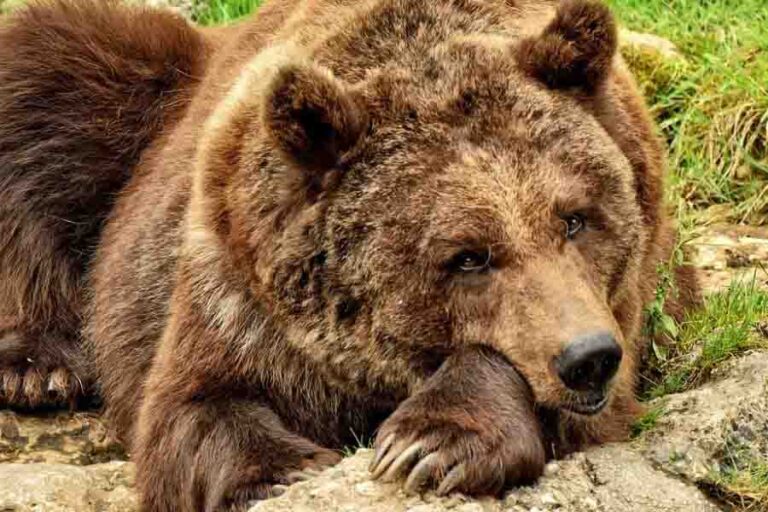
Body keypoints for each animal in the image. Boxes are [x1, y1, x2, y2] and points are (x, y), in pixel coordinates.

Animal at [0, 0, 701, 510]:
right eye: (467, 256)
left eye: (575, 219)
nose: (588, 358)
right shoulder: (233, 291)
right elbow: (189, 410)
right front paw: (285, 468)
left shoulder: (632, 300)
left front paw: (429, 445)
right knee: (44, 75)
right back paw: (39, 366)